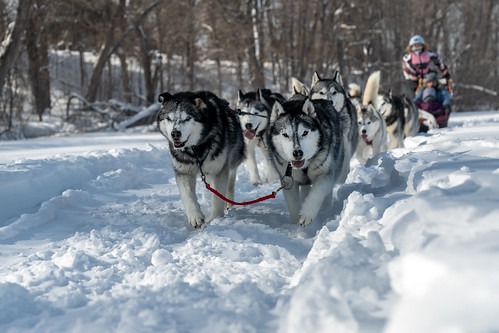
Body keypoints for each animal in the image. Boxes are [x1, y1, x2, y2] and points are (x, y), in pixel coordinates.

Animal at [156, 89, 246, 227]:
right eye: (169, 118)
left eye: (188, 118)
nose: (175, 133)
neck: (196, 149)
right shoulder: (183, 172)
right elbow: (187, 195)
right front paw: (195, 216)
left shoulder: (220, 170)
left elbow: (218, 198)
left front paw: (216, 220)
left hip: (232, 160)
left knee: (230, 180)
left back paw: (229, 201)